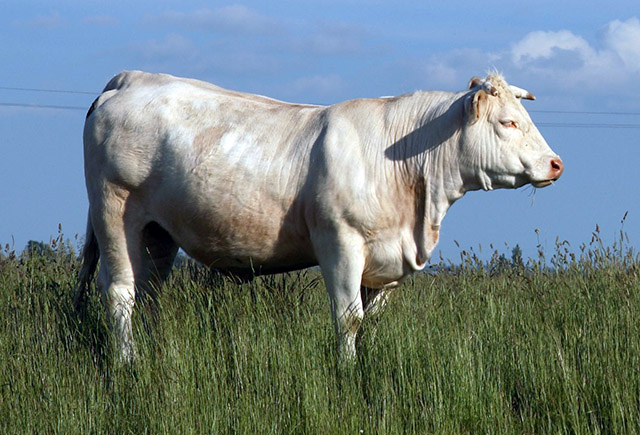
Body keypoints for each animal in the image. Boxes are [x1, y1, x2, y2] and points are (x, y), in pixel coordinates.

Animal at [75, 71, 564, 362]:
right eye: (508, 122)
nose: (556, 164)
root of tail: (131, 79)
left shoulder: (388, 265)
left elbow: (371, 322)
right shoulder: (340, 244)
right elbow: (348, 318)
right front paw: (346, 372)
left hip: (158, 233)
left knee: (148, 294)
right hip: (114, 210)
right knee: (120, 293)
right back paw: (128, 362)